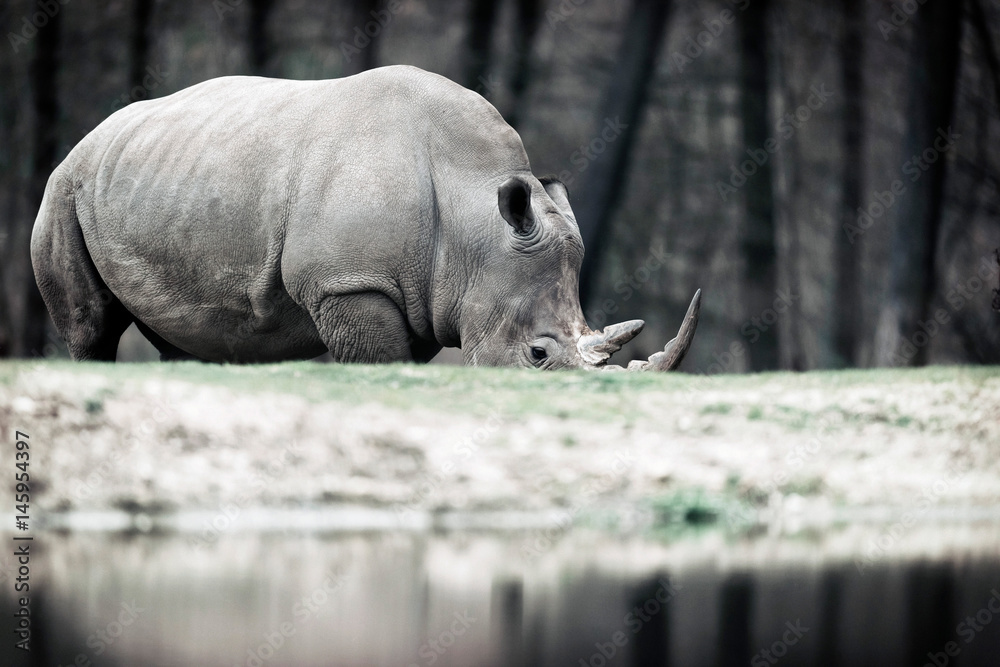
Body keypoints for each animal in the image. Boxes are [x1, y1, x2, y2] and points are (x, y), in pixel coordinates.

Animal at [31, 65, 700, 371]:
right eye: (537, 355)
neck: (475, 220)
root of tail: (90, 139)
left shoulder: (423, 295)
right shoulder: (350, 282)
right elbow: (381, 362)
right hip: (65, 189)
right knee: (92, 328)